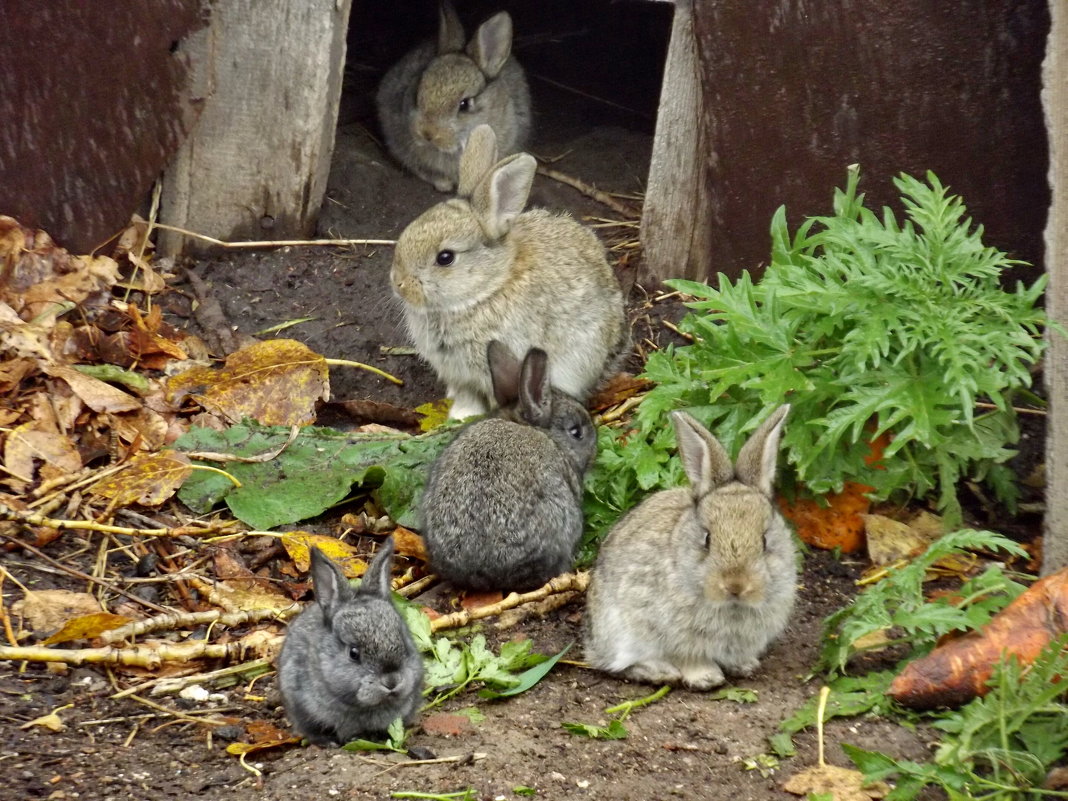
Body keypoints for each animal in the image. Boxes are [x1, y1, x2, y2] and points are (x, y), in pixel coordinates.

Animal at [585, 407, 794, 692]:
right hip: (618, 632)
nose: (736, 585)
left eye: (764, 540)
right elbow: (687, 658)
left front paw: (745, 666)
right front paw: (706, 677)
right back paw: (659, 673)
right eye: (707, 539)